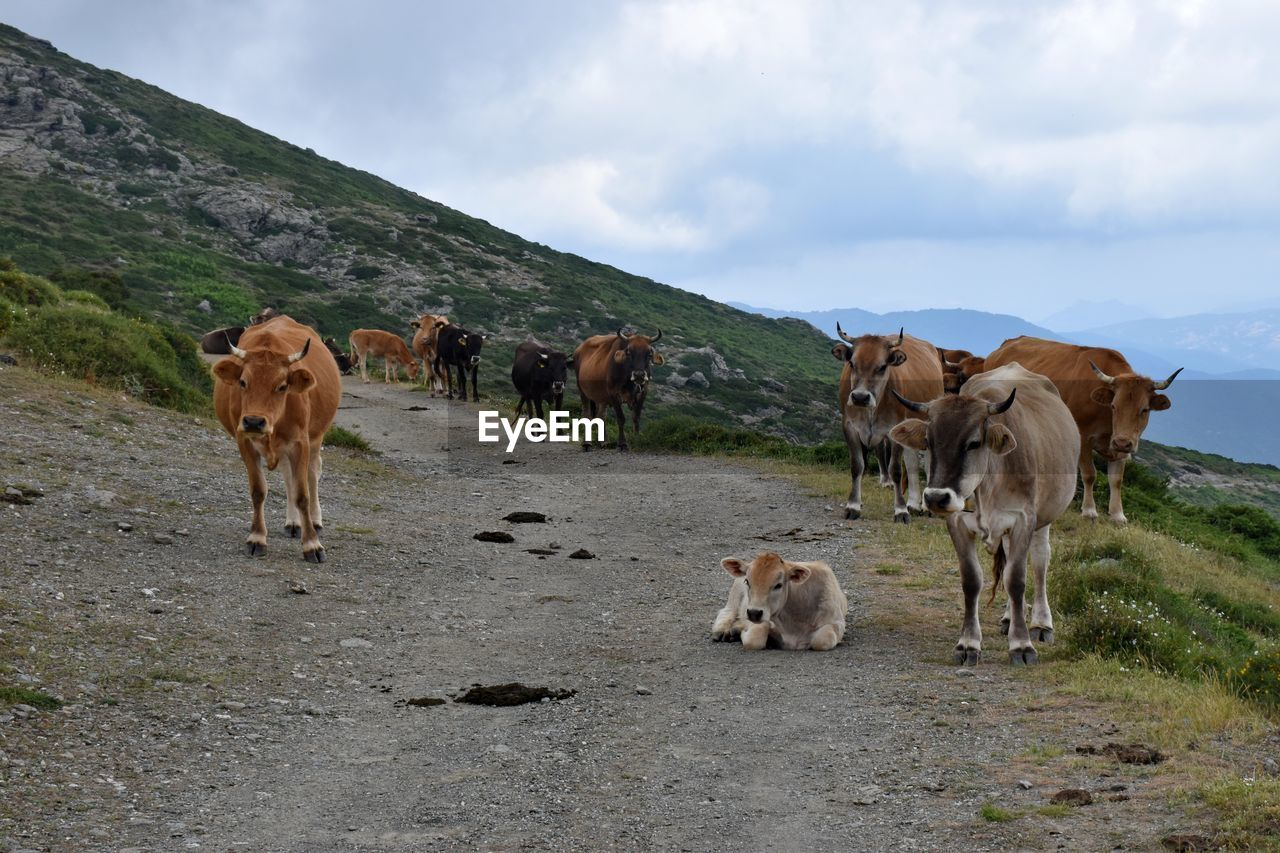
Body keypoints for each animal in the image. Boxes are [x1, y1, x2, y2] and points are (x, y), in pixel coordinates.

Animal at [211, 315, 340, 560]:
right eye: (243, 382)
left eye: (282, 386)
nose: (253, 421)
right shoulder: (244, 441)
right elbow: (258, 490)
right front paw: (257, 538)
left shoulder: (301, 443)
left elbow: (302, 494)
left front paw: (312, 544)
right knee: (289, 476)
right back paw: (293, 522)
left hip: (316, 436)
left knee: (312, 473)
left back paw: (315, 521)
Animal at [711, 548, 849, 648]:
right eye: (747, 581)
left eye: (778, 585)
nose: (754, 613)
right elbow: (755, 638)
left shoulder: (837, 622)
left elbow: (822, 640)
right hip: (735, 595)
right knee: (727, 611)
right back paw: (723, 631)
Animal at [834, 325, 947, 522]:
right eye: (852, 364)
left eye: (882, 367)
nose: (860, 397)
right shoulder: (849, 426)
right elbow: (857, 466)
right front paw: (853, 506)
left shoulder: (893, 429)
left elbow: (895, 470)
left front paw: (900, 511)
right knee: (911, 463)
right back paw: (913, 504)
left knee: (927, 462)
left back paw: (926, 507)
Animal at [890, 358, 1080, 666]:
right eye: (928, 441)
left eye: (973, 443)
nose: (936, 497)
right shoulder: (957, 521)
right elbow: (972, 580)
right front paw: (968, 643)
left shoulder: (1024, 519)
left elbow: (1017, 580)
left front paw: (1022, 644)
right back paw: (1008, 618)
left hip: (1044, 518)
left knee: (1040, 561)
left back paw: (1040, 623)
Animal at [983, 335, 1182, 522]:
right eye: (1114, 406)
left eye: (1144, 410)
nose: (1122, 442)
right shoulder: (1084, 438)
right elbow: (1089, 474)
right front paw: (1089, 510)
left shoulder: (1121, 447)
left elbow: (1116, 479)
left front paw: (1118, 515)